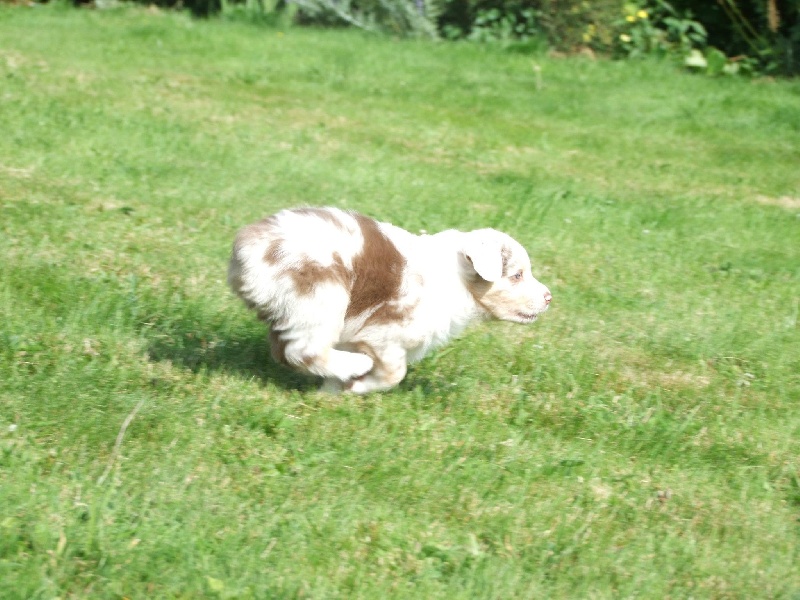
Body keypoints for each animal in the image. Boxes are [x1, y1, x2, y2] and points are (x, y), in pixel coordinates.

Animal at [228, 207, 552, 394]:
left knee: (287, 350)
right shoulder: (386, 335)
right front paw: (359, 385)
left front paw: (331, 396)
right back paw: (356, 365)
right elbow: (395, 373)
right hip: (320, 297)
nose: (549, 297)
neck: (456, 279)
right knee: (302, 351)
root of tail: (248, 246)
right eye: (517, 275)